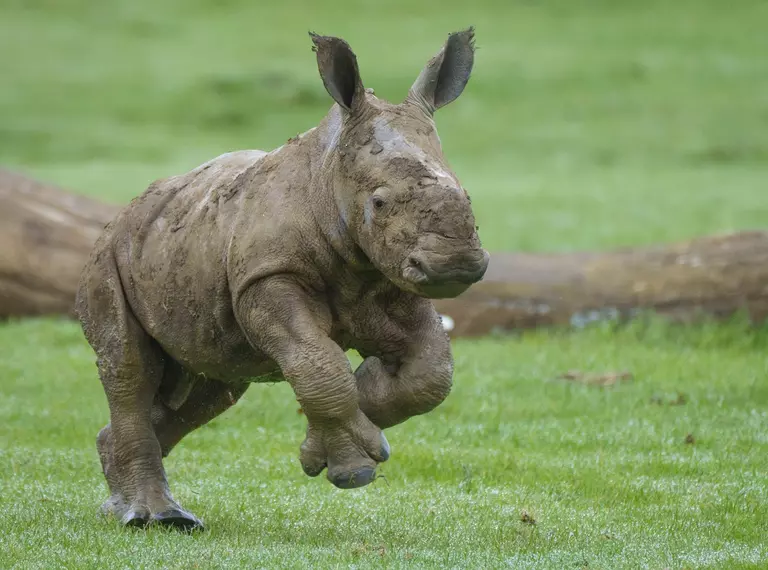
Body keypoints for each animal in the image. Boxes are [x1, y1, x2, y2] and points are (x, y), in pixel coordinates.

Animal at [76, 27, 486, 528]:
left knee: (212, 386)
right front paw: (351, 469)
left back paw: (124, 506)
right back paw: (153, 517)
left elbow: (430, 374)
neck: (328, 179)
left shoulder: (387, 276)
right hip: (108, 259)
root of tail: (124, 215)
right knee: (130, 369)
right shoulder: (267, 276)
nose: (456, 265)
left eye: (467, 196)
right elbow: (319, 363)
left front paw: (330, 439)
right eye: (379, 203)